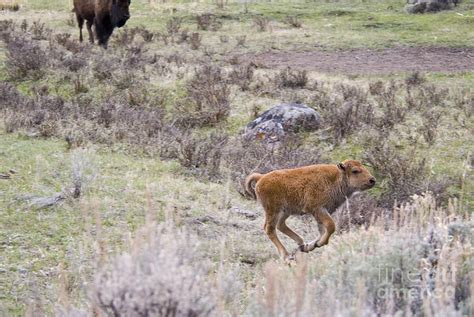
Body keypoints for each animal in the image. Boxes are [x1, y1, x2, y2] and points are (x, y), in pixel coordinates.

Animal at [246, 160, 376, 262]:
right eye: (355, 171)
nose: (372, 180)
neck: (335, 178)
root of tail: (261, 177)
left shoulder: (322, 212)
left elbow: (323, 231)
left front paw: (312, 245)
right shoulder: (318, 209)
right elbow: (330, 226)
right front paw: (317, 244)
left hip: (285, 211)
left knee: (280, 225)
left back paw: (301, 244)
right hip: (274, 210)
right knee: (270, 229)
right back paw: (287, 256)